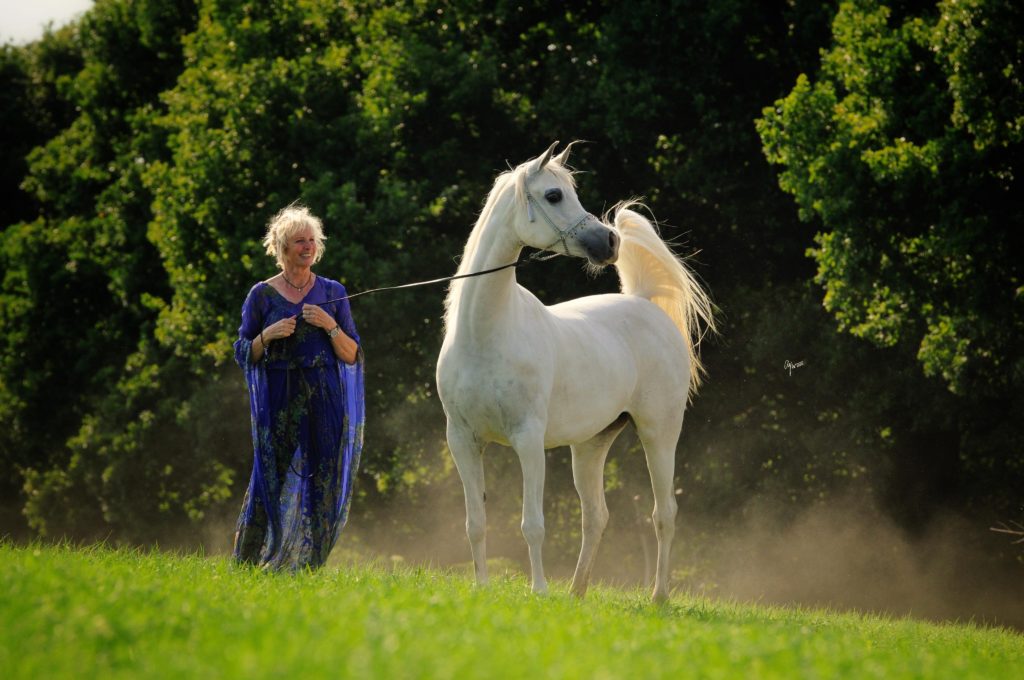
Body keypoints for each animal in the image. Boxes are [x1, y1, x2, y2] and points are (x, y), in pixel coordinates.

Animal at [436, 143, 716, 602]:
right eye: (553, 195)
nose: (610, 241)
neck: (487, 334)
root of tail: (644, 303)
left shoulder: (528, 440)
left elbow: (532, 525)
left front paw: (539, 591)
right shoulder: (462, 440)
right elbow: (474, 523)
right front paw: (482, 587)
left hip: (659, 432)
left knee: (664, 514)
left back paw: (658, 597)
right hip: (590, 445)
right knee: (596, 516)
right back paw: (577, 591)